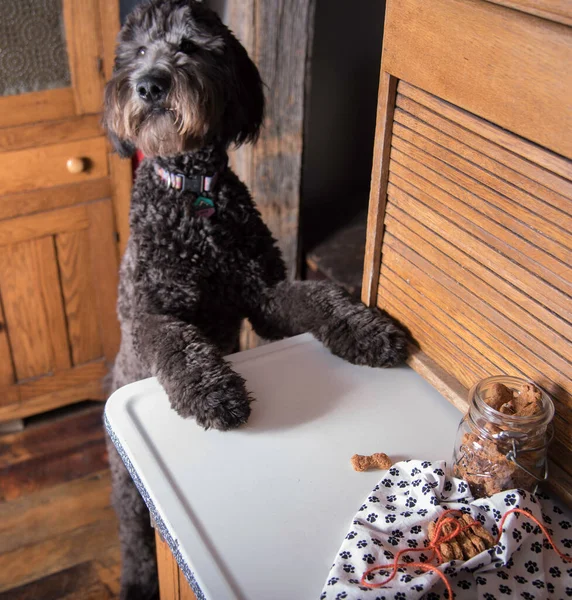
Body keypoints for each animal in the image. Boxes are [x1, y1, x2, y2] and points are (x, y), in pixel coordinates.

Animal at [101, 2, 406, 596]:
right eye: (136, 52)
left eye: (189, 47)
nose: (149, 84)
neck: (194, 198)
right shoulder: (151, 313)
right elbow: (178, 343)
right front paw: (213, 392)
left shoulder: (262, 296)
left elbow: (320, 297)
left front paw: (367, 330)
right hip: (126, 490)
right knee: (131, 536)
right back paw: (136, 579)